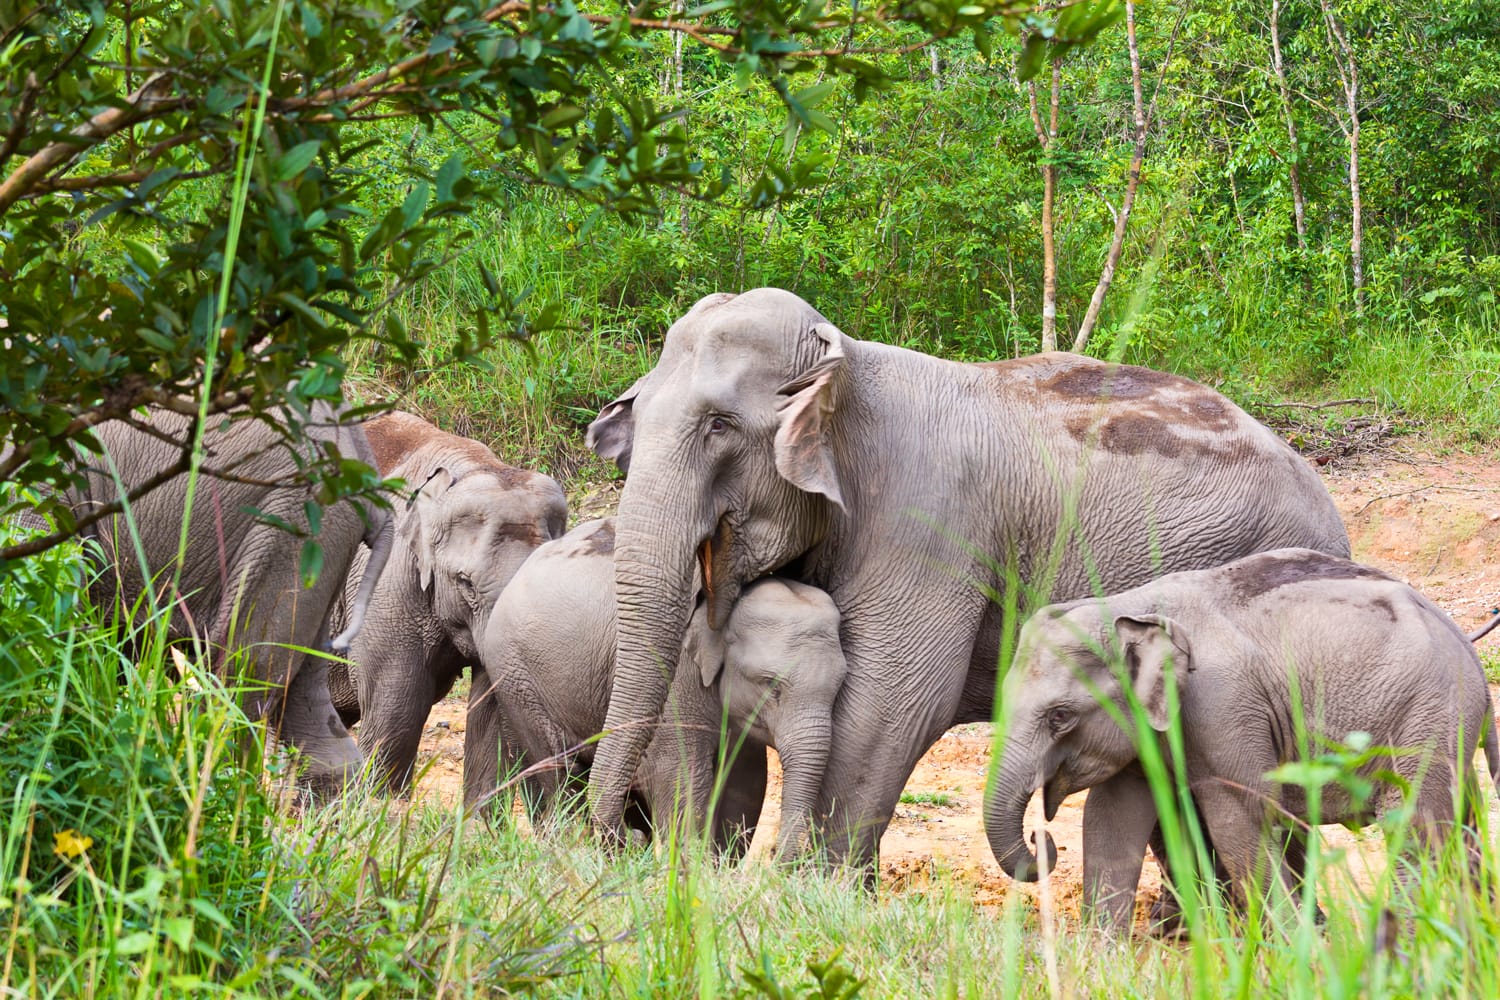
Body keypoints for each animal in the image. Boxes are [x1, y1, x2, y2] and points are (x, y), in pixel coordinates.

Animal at [468, 515, 846, 863]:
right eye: (770, 686)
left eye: (840, 687)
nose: (775, 857)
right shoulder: (674, 676)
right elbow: (678, 774)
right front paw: (690, 869)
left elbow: (743, 779)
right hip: (516, 677)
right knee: (559, 771)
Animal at [579, 287, 1356, 869]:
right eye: (637, 415)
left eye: (720, 426)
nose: (618, 837)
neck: (847, 362)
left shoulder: (928, 517)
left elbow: (897, 698)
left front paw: (819, 894)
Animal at [990, 548, 1494, 929]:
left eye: (1060, 716)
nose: (1041, 841)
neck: (1126, 607)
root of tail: (1465, 644)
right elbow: (1110, 820)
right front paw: (1101, 961)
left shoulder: (1222, 705)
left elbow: (1241, 819)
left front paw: (1297, 955)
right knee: (1461, 828)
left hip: (1430, 716)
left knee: (1415, 828)